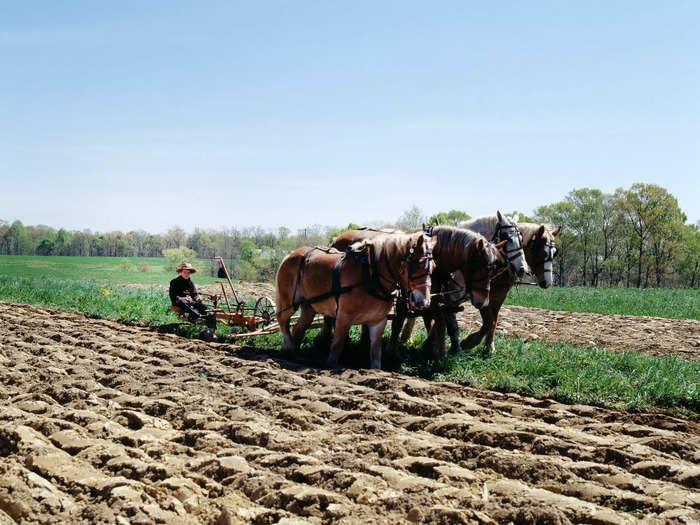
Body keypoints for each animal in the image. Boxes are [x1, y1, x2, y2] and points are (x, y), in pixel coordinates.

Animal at [274, 231, 432, 370]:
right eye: (417, 265)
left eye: (432, 268)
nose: (423, 302)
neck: (370, 276)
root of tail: (290, 255)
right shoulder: (343, 317)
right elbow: (336, 347)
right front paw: (331, 365)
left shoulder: (378, 321)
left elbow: (376, 354)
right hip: (289, 303)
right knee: (282, 320)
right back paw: (288, 347)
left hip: (309, 307)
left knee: (297, 328)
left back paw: (294, 355)